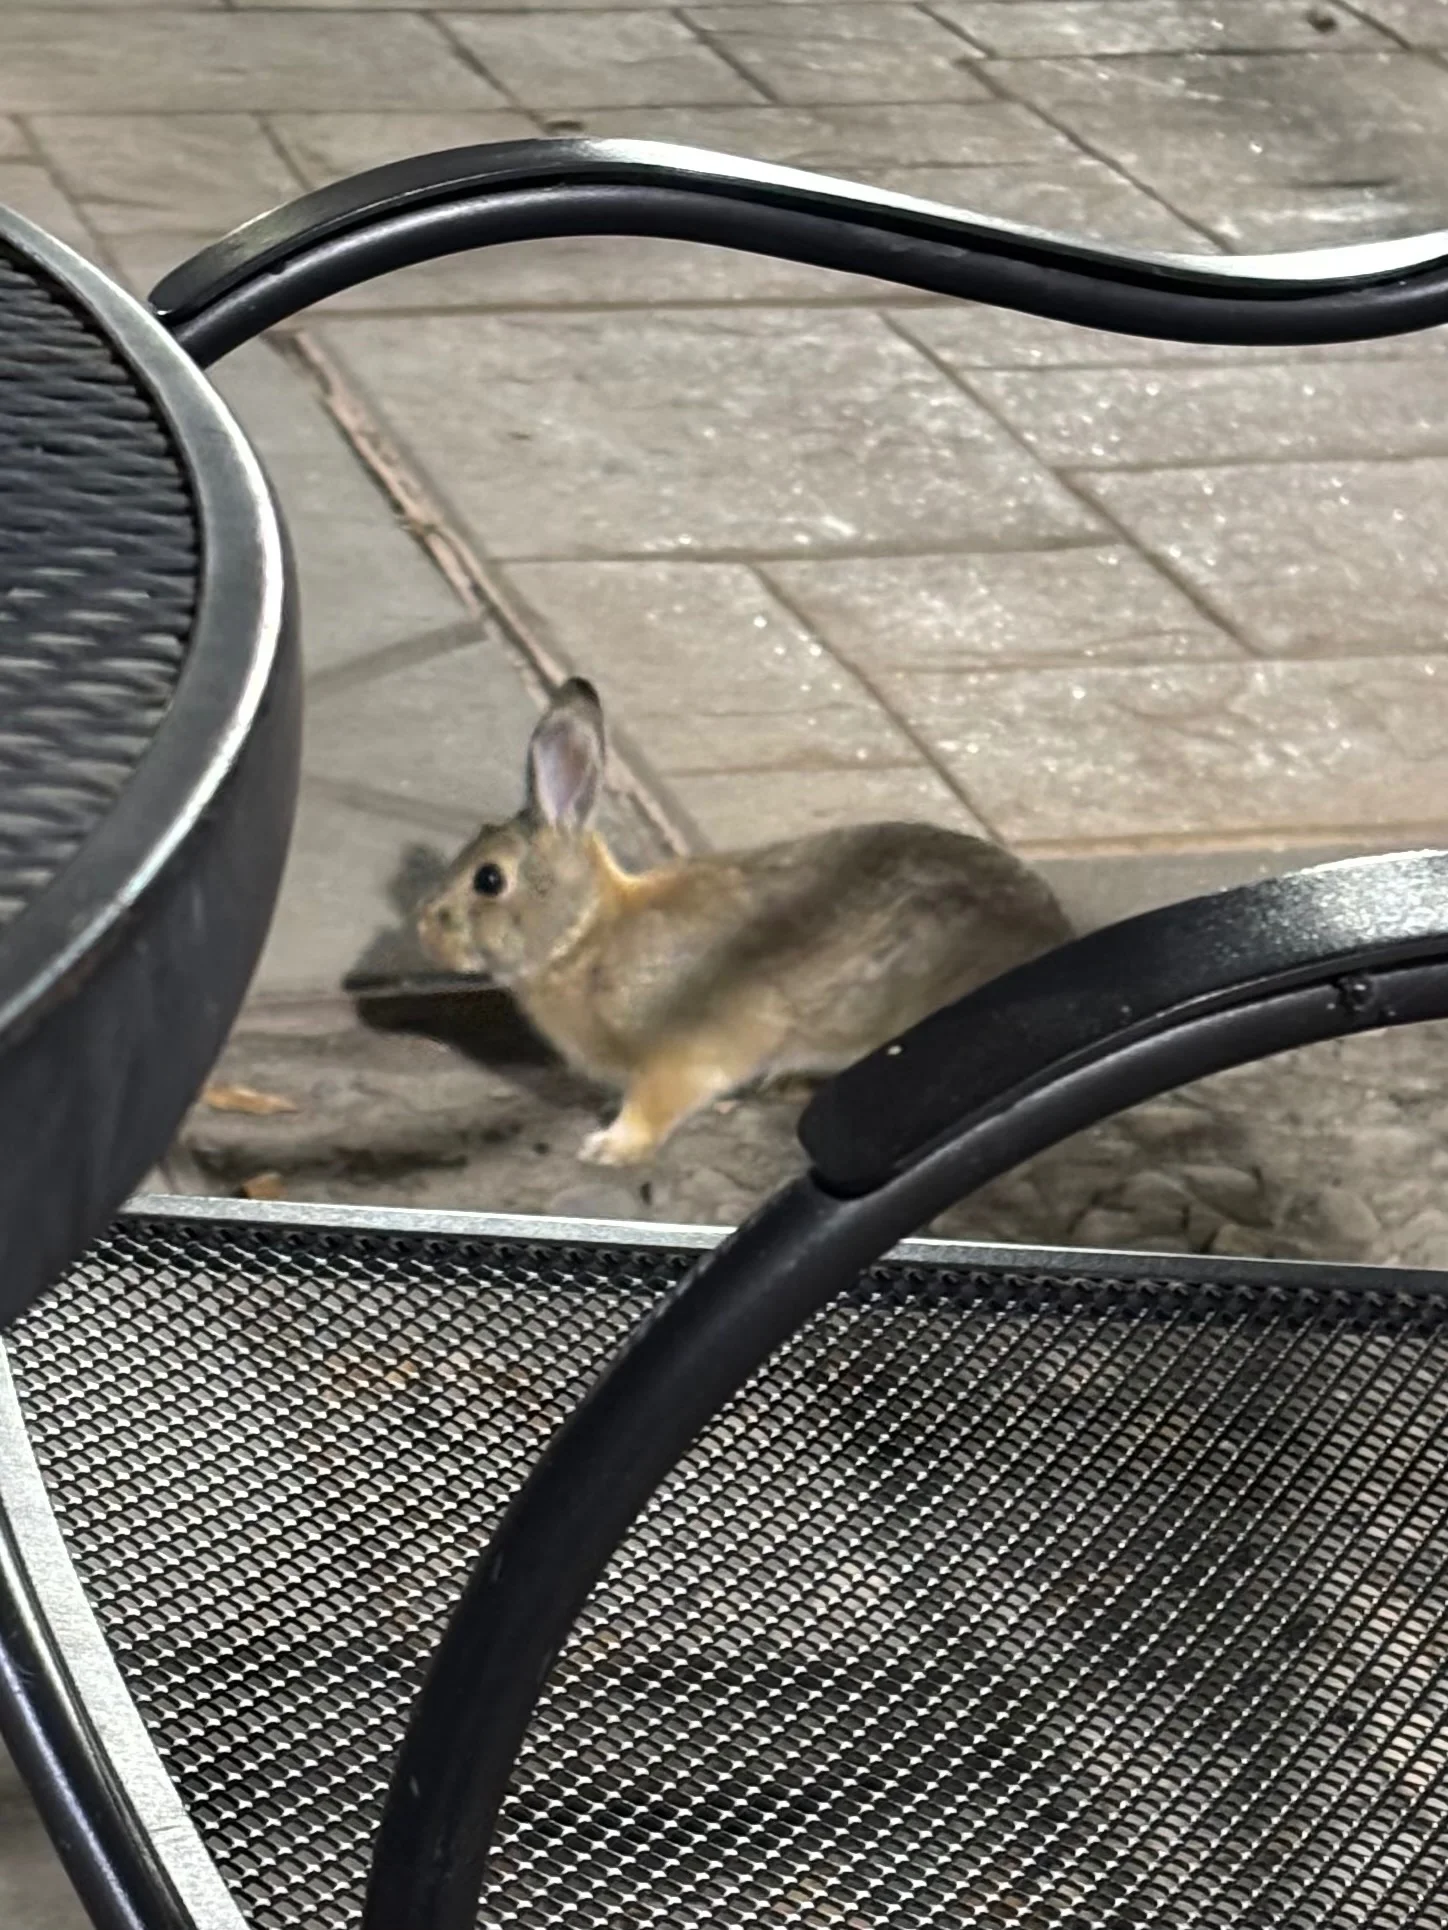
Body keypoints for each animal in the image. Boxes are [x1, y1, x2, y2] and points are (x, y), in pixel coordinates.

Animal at [417, 678, 1072, 1166]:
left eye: (489, 880)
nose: (426, 931)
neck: (583, 939)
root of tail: (1056, 933)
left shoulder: (685, 1054)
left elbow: (655, 1107)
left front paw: (608, 1148)